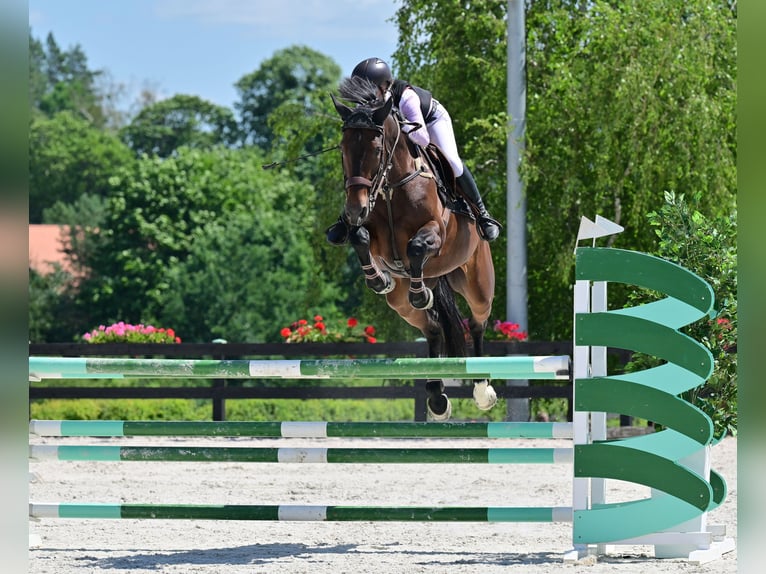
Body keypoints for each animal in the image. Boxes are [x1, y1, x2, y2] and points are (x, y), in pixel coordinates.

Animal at [332, 77, 500, 424]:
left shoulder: (435, 233)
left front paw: (419, 291)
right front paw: (377, 279)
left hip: (478, 282)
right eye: (343, 148)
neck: (391, 185)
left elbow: (418, 245)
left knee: (477, 323)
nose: (354, 209)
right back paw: (436, 398)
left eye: (376, 149)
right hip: (400, 304)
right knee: (433, 328)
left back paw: (481, 389)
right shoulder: (375, 235)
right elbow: (360, 237)